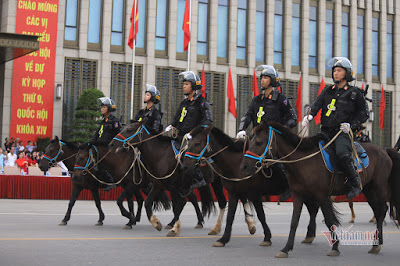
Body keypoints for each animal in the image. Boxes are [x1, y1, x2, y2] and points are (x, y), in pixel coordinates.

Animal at [181, 125, 318, 247]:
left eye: (197, 142)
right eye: (189, 142)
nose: (185, 166)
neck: (236, 164)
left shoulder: (255, 194)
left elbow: (261, 215)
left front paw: (267, 237)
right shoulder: (233, 193)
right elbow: (230, 216)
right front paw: (224, 239)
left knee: (313, 209)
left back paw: (310, 234)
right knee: (313, 210)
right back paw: (310, 234)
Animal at [241, 122, 400, 258]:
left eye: (259, 142)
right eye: (251, 141)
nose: (244, 166)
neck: (304, 161)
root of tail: (384, 150)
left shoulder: (322, 195)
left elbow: (329, 220)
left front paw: (335, 247)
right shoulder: (298, 195)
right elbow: (294, 221)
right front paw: (286, 248)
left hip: (378, 187)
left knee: (381, 211)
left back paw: (377, 244)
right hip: (368, 189)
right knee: (379, 211)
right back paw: (376, 243)